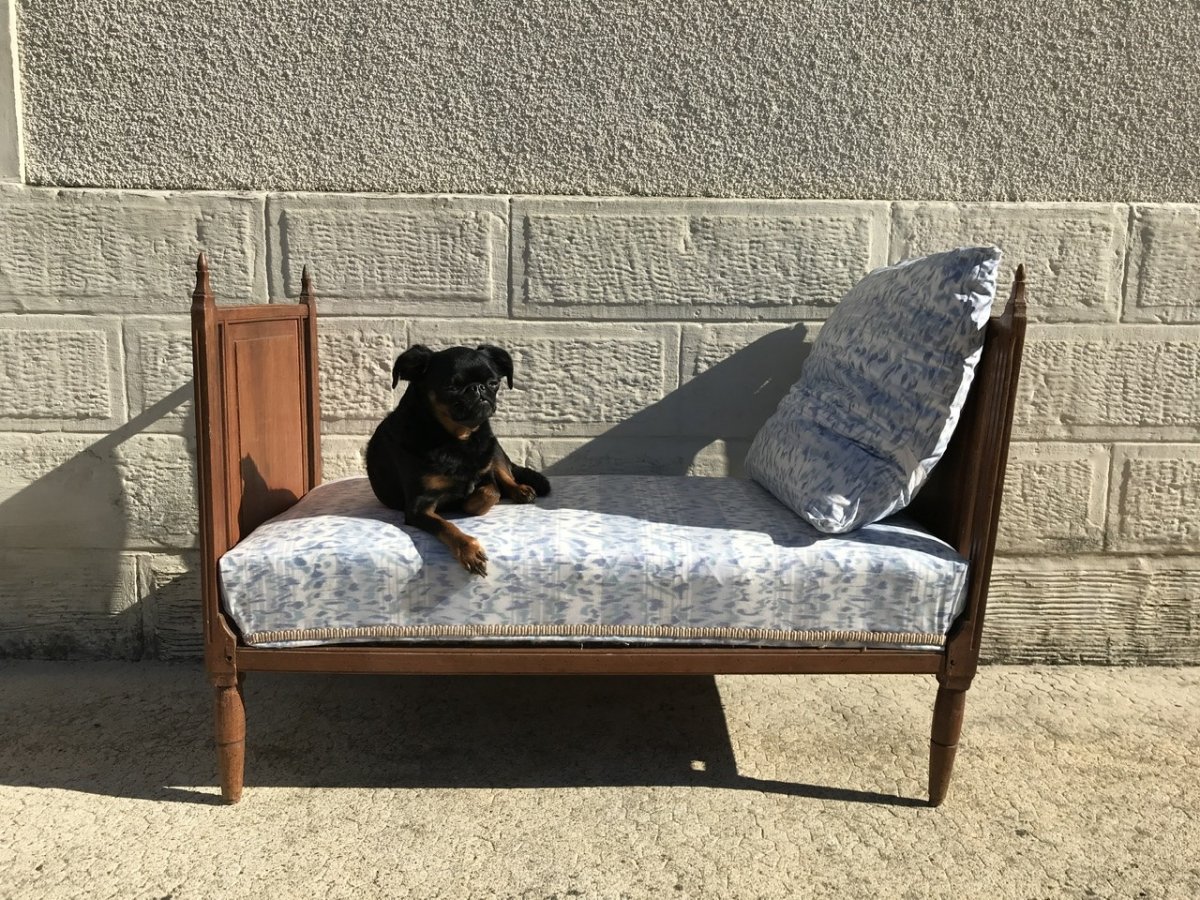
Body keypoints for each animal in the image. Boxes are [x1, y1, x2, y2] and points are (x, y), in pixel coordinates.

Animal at [367, 345, 549, 578]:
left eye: (493, 383)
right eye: (451, 387)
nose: (478, 388)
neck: (457, 438)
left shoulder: (486, 475)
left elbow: (491, 492)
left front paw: (468, 501)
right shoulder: (418, 507)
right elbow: (446, 526)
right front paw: (469, 550)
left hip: (493, 446)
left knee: (506, 473)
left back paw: (520, 489)